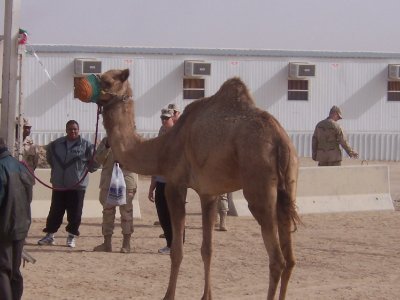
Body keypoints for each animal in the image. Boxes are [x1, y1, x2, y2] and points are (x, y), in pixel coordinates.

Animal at [78, 69, 298, 298]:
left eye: (107, 81)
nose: (80, 83)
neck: (163, 148)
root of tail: (280, 141)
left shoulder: (175, 184)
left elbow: (177, 250)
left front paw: (168, 295)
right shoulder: (209, 193)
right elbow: (207, 249)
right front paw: (206, 296)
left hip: (259, 186)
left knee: (277, 260)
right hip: (288, 185)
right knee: (291, 259)